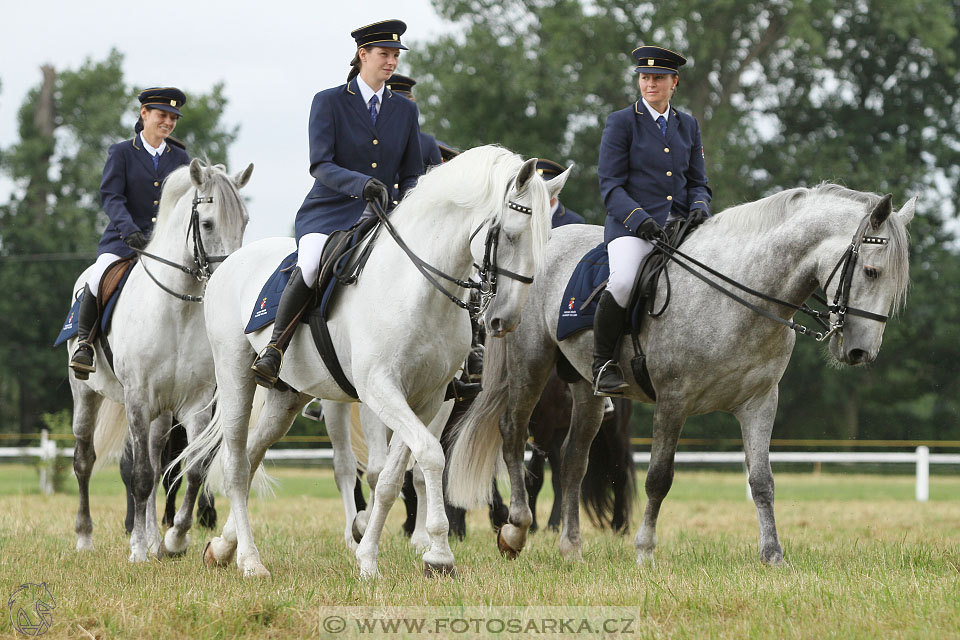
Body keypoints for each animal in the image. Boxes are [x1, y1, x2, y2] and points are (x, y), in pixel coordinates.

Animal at [70, 160, 253, 560]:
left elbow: (193, 470)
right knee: (85, 460)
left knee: (156, 468)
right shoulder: (137, 399)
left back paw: (155, 538)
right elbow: (138, 476)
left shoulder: (195, 403)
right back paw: (85, 537)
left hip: (163, 414)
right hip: (86, 396)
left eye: (245, 222)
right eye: (207, 224)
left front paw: (174, 539)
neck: (176, 310)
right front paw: (137, 549)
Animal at [179, 146, 568, 580]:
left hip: (288, 397)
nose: (505, 320)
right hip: (235, 378)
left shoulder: (430, 398)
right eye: (511, 234)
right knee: (234, 465)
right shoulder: (379, 389)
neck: (417, 287)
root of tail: (229, 264)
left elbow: (395, 476)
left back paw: (222, 548)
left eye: (546, 240)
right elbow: (428, 455)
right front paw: (435, 553)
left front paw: (380, 555)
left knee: (250, 458)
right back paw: (250, 560)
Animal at [450, 185, 916, 564]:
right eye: (871, 271)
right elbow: (660, 478)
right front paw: (645, 551)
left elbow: (762, 480)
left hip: (587, 390)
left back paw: (571, 549)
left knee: (572, 461)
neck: (741, 294)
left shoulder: (760, 402)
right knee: (513, 434)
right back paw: (514, 529)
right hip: (530, 364)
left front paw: (773, 556)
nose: (860, 352)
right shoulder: (674, 401)